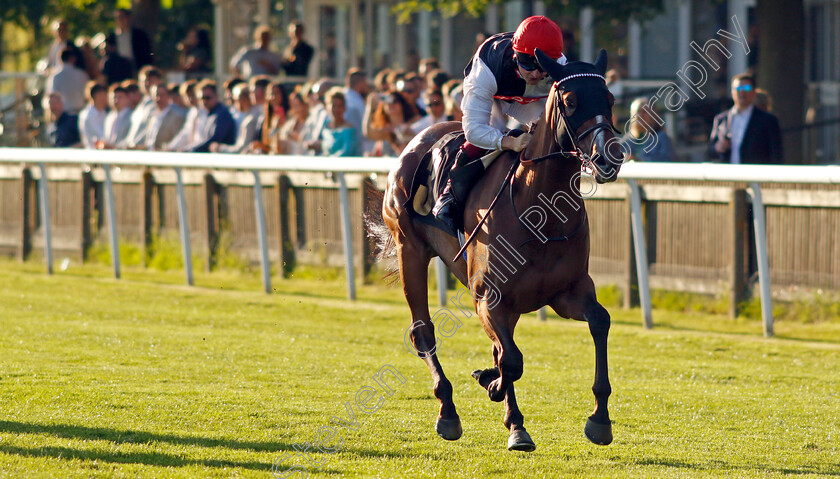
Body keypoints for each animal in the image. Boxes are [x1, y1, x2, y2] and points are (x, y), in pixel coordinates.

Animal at [372, 50, 624, 452]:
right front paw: (506, 409)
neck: (541, 213)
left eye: (610, 99)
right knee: (423, 332)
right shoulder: (489, 298)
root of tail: (418, 139)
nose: (608, 158)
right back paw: (449, 412)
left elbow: (599, 322)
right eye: (570, 101)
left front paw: (599, 420)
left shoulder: (568, 293)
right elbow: (513, 360)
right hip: (408, 248)